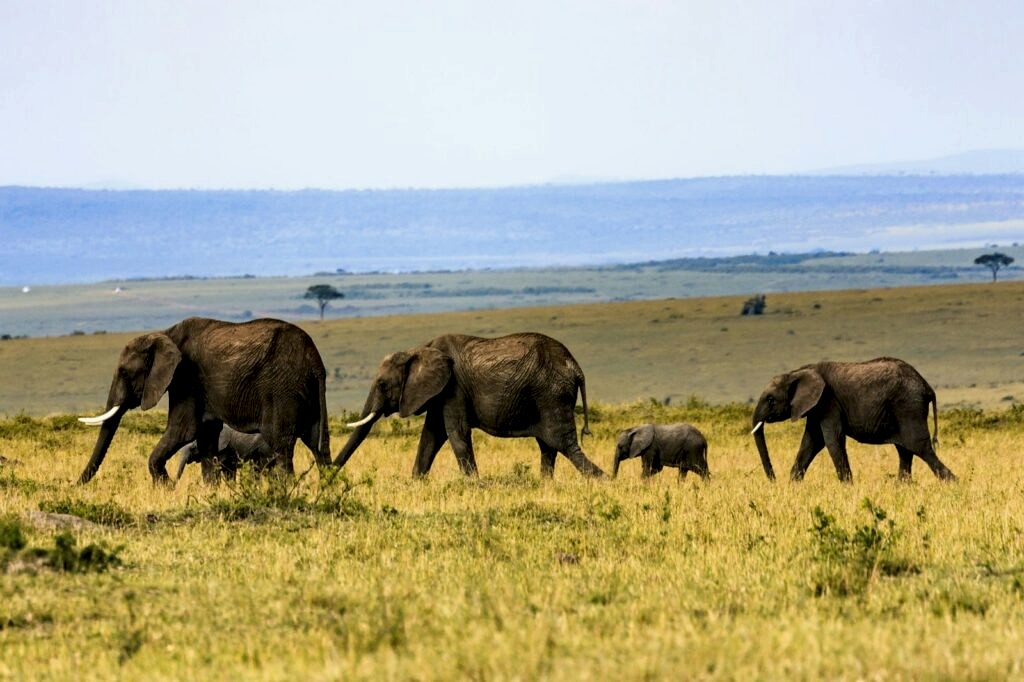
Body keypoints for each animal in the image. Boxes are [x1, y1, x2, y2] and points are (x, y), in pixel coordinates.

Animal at [77, 316, 331, 485]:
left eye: (125, 372)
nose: (76, 485)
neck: (165, 334)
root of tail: (315, 361)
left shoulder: (186, 378)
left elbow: (183, 430)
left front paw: (166, 489)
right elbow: (207, 436)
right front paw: (211, 492)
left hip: (281, 389)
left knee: (281, 445)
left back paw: (285, 492)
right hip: (307, 392)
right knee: (318, 443)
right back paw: (328, 490)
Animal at [334, 332, 605, 478]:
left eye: (381, 384)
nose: (328, 475)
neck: (420, 349)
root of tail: (576, 368)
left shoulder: (453, 389)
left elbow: (456, 433)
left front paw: (475, 484)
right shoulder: (440, 393)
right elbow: (431, 436)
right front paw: (416, 482)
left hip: (551, 394)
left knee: (562, 443)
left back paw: (604, 480)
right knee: (548, 446)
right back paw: (544, 483)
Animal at [750, 356, 956, 483]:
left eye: (771, 400)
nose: (773, 480)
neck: (799, 371)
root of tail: (927, 386)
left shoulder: (829, 402)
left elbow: (832, 440)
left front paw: (848, 486)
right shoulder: (816, 408)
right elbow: (811, 442)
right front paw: (793, 484)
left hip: (908, 407)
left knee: (920, 447)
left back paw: (953, 483)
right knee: (905, 451)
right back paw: (902, 487)